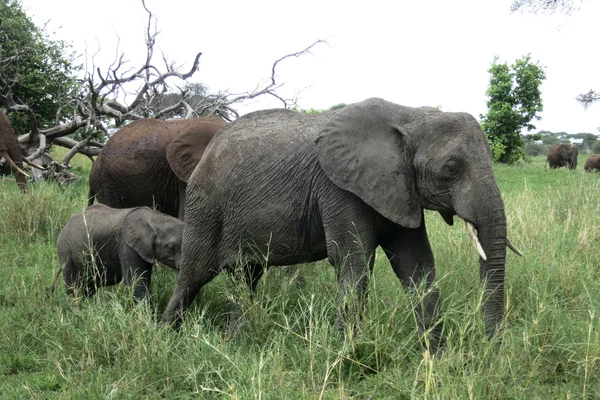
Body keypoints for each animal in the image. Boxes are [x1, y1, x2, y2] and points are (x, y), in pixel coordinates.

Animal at [163, 97, 520, 344]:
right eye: (452, 168)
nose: (489, 351)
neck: (409, 116)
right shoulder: (338, 188)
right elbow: (353, 263)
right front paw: (343, 357)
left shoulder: (399, 189)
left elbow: (416, 264)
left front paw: (436, 357)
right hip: (205, 205)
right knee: (194, 274)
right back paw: (167, 338)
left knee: (245, 277)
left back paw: (236, 340)